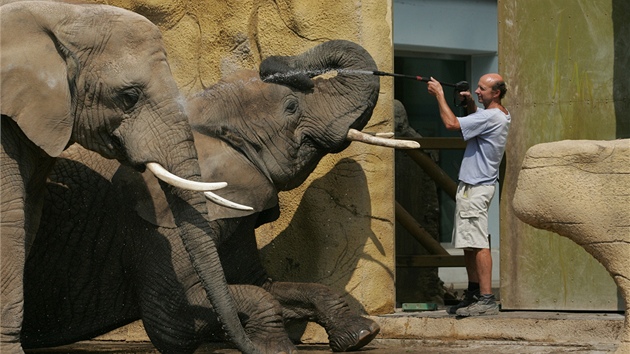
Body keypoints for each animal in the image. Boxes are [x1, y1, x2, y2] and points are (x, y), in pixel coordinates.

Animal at [23, 40, 414, 352]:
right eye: (291, 107)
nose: (271, 64)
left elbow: (263, 285)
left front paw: (361, 335)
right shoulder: (156, 228)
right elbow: (174, 319)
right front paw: (275, 349)